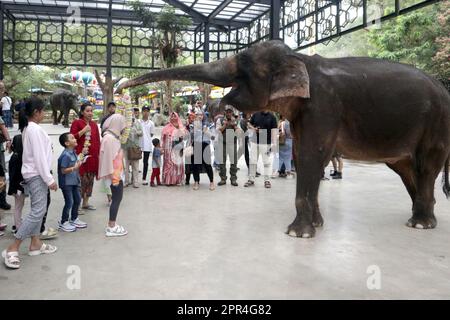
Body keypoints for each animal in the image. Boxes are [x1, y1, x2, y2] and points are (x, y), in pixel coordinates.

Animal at [117, 40, 450, 238]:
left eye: (243, 67)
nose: (120, 86)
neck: (300, 58)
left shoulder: (323, 106)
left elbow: (312, 155)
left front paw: (297, 234)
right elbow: (304, 156)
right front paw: (316, 225)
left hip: (437, 125)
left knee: (426, 166)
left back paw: (420, 224)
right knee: (407, 169)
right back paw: (419, 218)